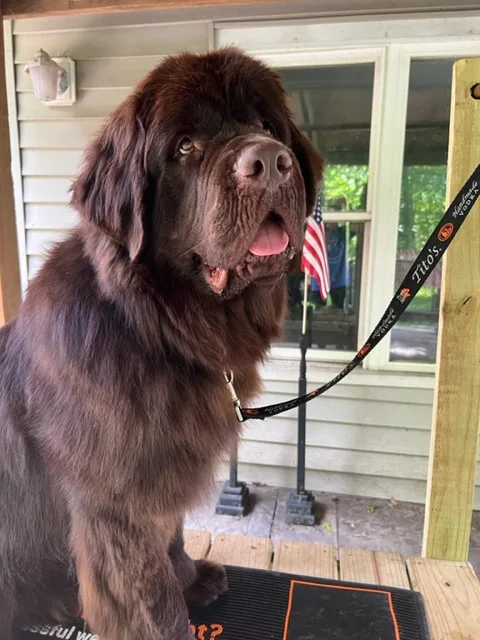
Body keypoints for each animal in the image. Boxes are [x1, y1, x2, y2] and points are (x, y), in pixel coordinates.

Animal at [0, 48, 322, 640]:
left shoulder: (165, 472)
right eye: (185, 146)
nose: (270, 161)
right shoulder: (117, 505)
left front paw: (190, 578)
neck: (156, 328)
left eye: (267, 127)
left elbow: (170, 537)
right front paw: (172, 612)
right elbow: (147, 594)